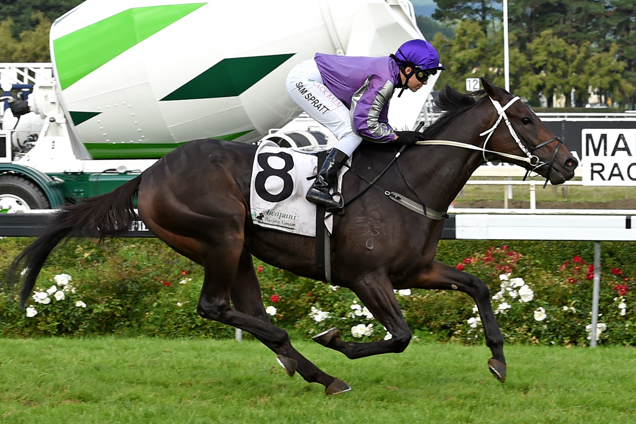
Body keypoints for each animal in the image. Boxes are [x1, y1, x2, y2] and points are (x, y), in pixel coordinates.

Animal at [9, 78, 576, 394]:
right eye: (525, 117)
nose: (569, 161)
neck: (407, 183)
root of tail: (147, 175)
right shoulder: (366, 276)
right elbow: (400, 336)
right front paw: (337, 340)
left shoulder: (414, 270)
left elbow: (479, 286)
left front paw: (498, 360)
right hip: (220, 238)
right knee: (217, 308)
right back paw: (317, 366)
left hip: (238, 249)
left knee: (248, 312)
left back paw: (312, 372)